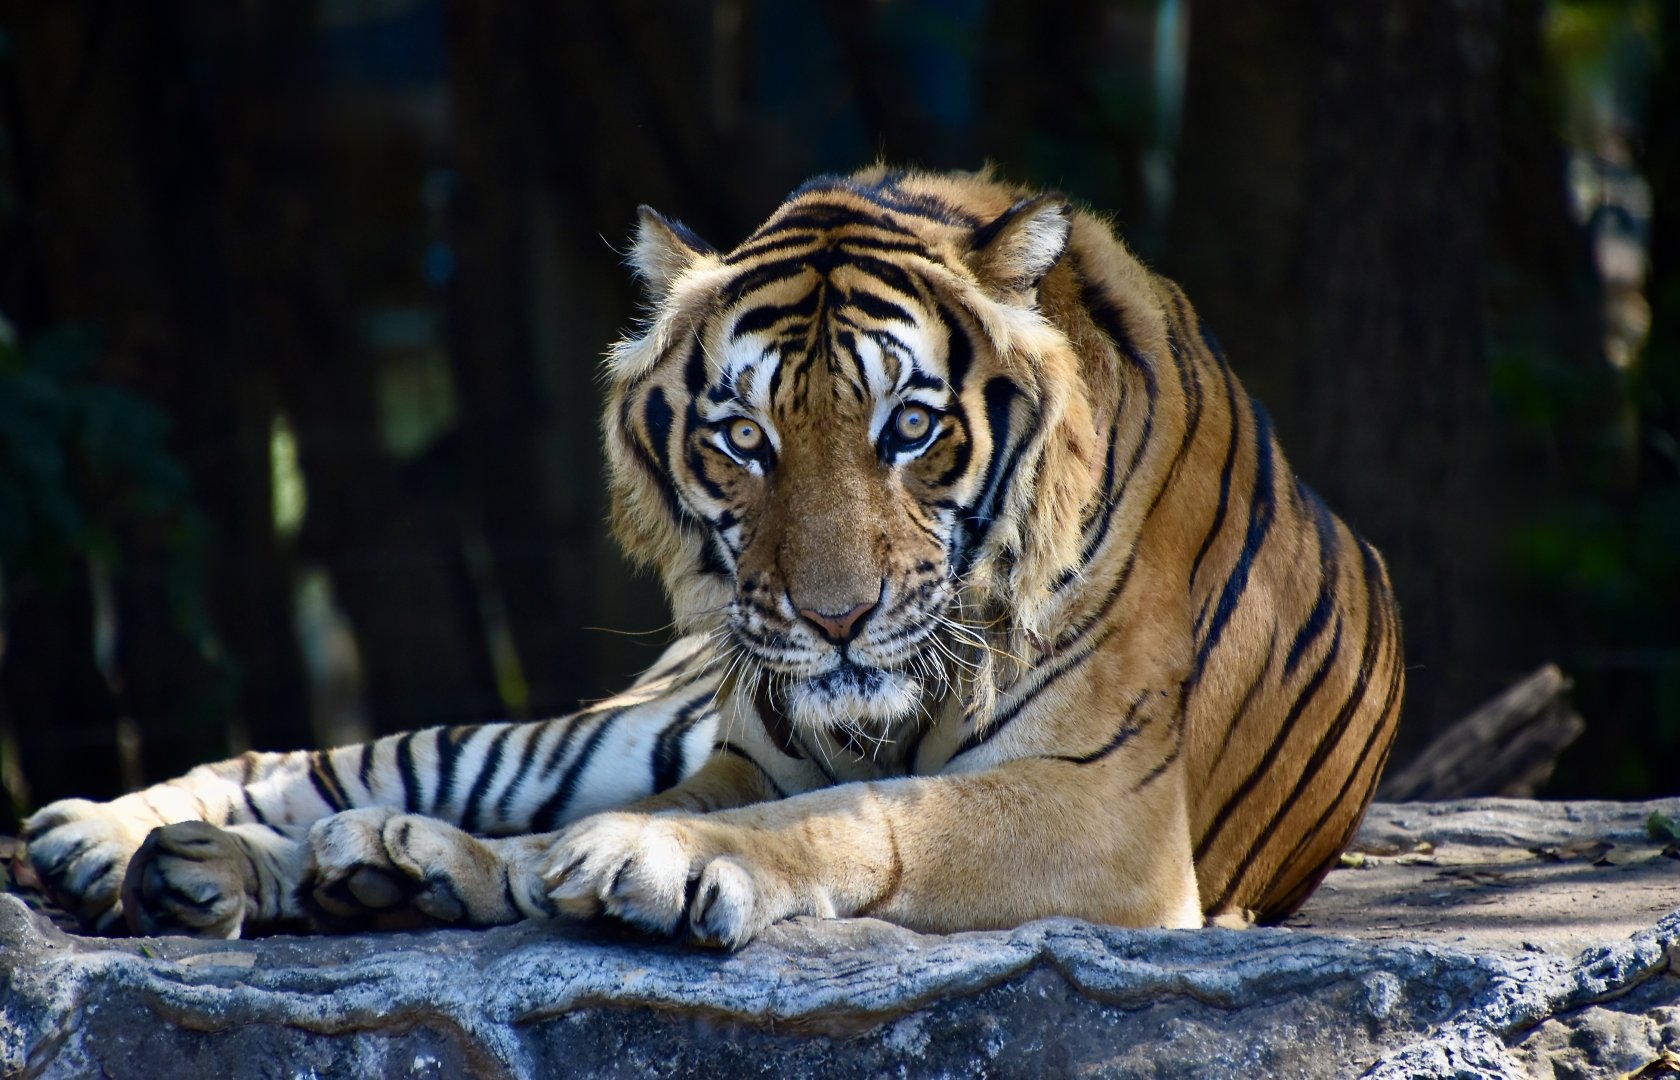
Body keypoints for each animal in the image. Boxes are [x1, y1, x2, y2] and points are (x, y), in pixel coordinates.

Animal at [20, 166, 1403, 946]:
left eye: (911, 428)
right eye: (743, 439)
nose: (835, 621)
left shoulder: (1104, 807)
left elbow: (869, 815)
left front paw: (668, 864)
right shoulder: (751, 757)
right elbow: (787, 805)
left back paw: (327, 875)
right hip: (614, 730)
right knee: (350, 765)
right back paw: (124, 841)